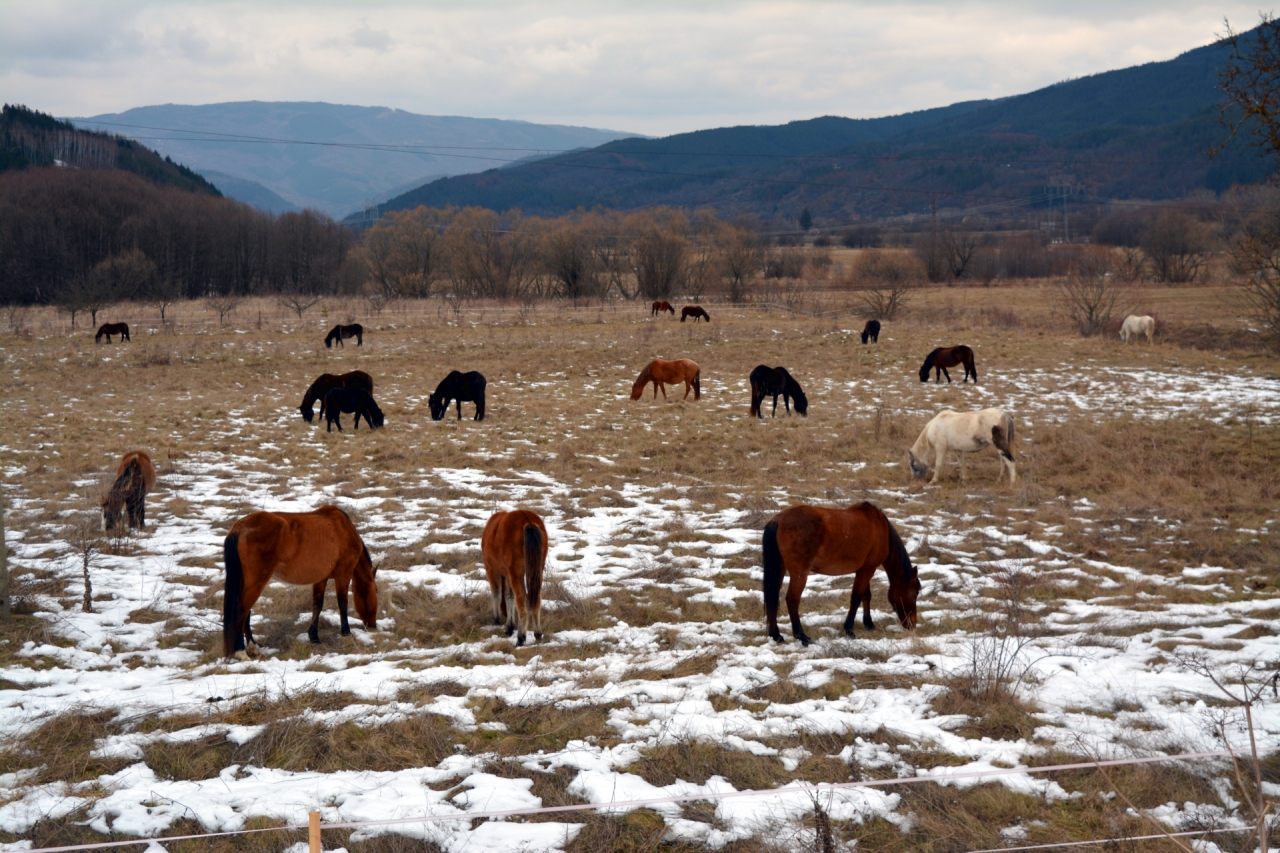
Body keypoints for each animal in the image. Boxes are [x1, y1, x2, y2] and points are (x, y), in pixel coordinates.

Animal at [221, 504, 373, 655]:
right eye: (374, 592)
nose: (372, 625)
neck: (343, 527)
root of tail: (239, 527)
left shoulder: (321, 578)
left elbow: (317, 604)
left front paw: (314, 637)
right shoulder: (344, 573)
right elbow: (342, 602)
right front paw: (346, 632)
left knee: (246, 612)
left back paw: (253, 645)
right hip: (256, 581)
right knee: (241, 611)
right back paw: (241, 650)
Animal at [476, 507, 545, 640]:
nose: (504, 613)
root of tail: (528, 521)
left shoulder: (492, 570)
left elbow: (497, 593)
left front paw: (497, 619)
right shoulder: (508, 575)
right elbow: (509, 596)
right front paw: (509, 625)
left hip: (515, 573)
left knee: (521, 599)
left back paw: (521, 637)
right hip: (537, 571)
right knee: (536, 598)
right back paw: (538, 633)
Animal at [757, 499, 921, 645]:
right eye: (916, 592)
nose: (912, 624)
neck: (880, 527)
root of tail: (778, 519)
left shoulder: (864, 569)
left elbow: (866, 596)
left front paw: (868, 623)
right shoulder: (868, 568)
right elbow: (856, 598)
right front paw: (849, 630)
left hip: (780, 568)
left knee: (774, 597)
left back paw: (776, 635)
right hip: (800, 573)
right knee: (792, 599)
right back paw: (802, 636)